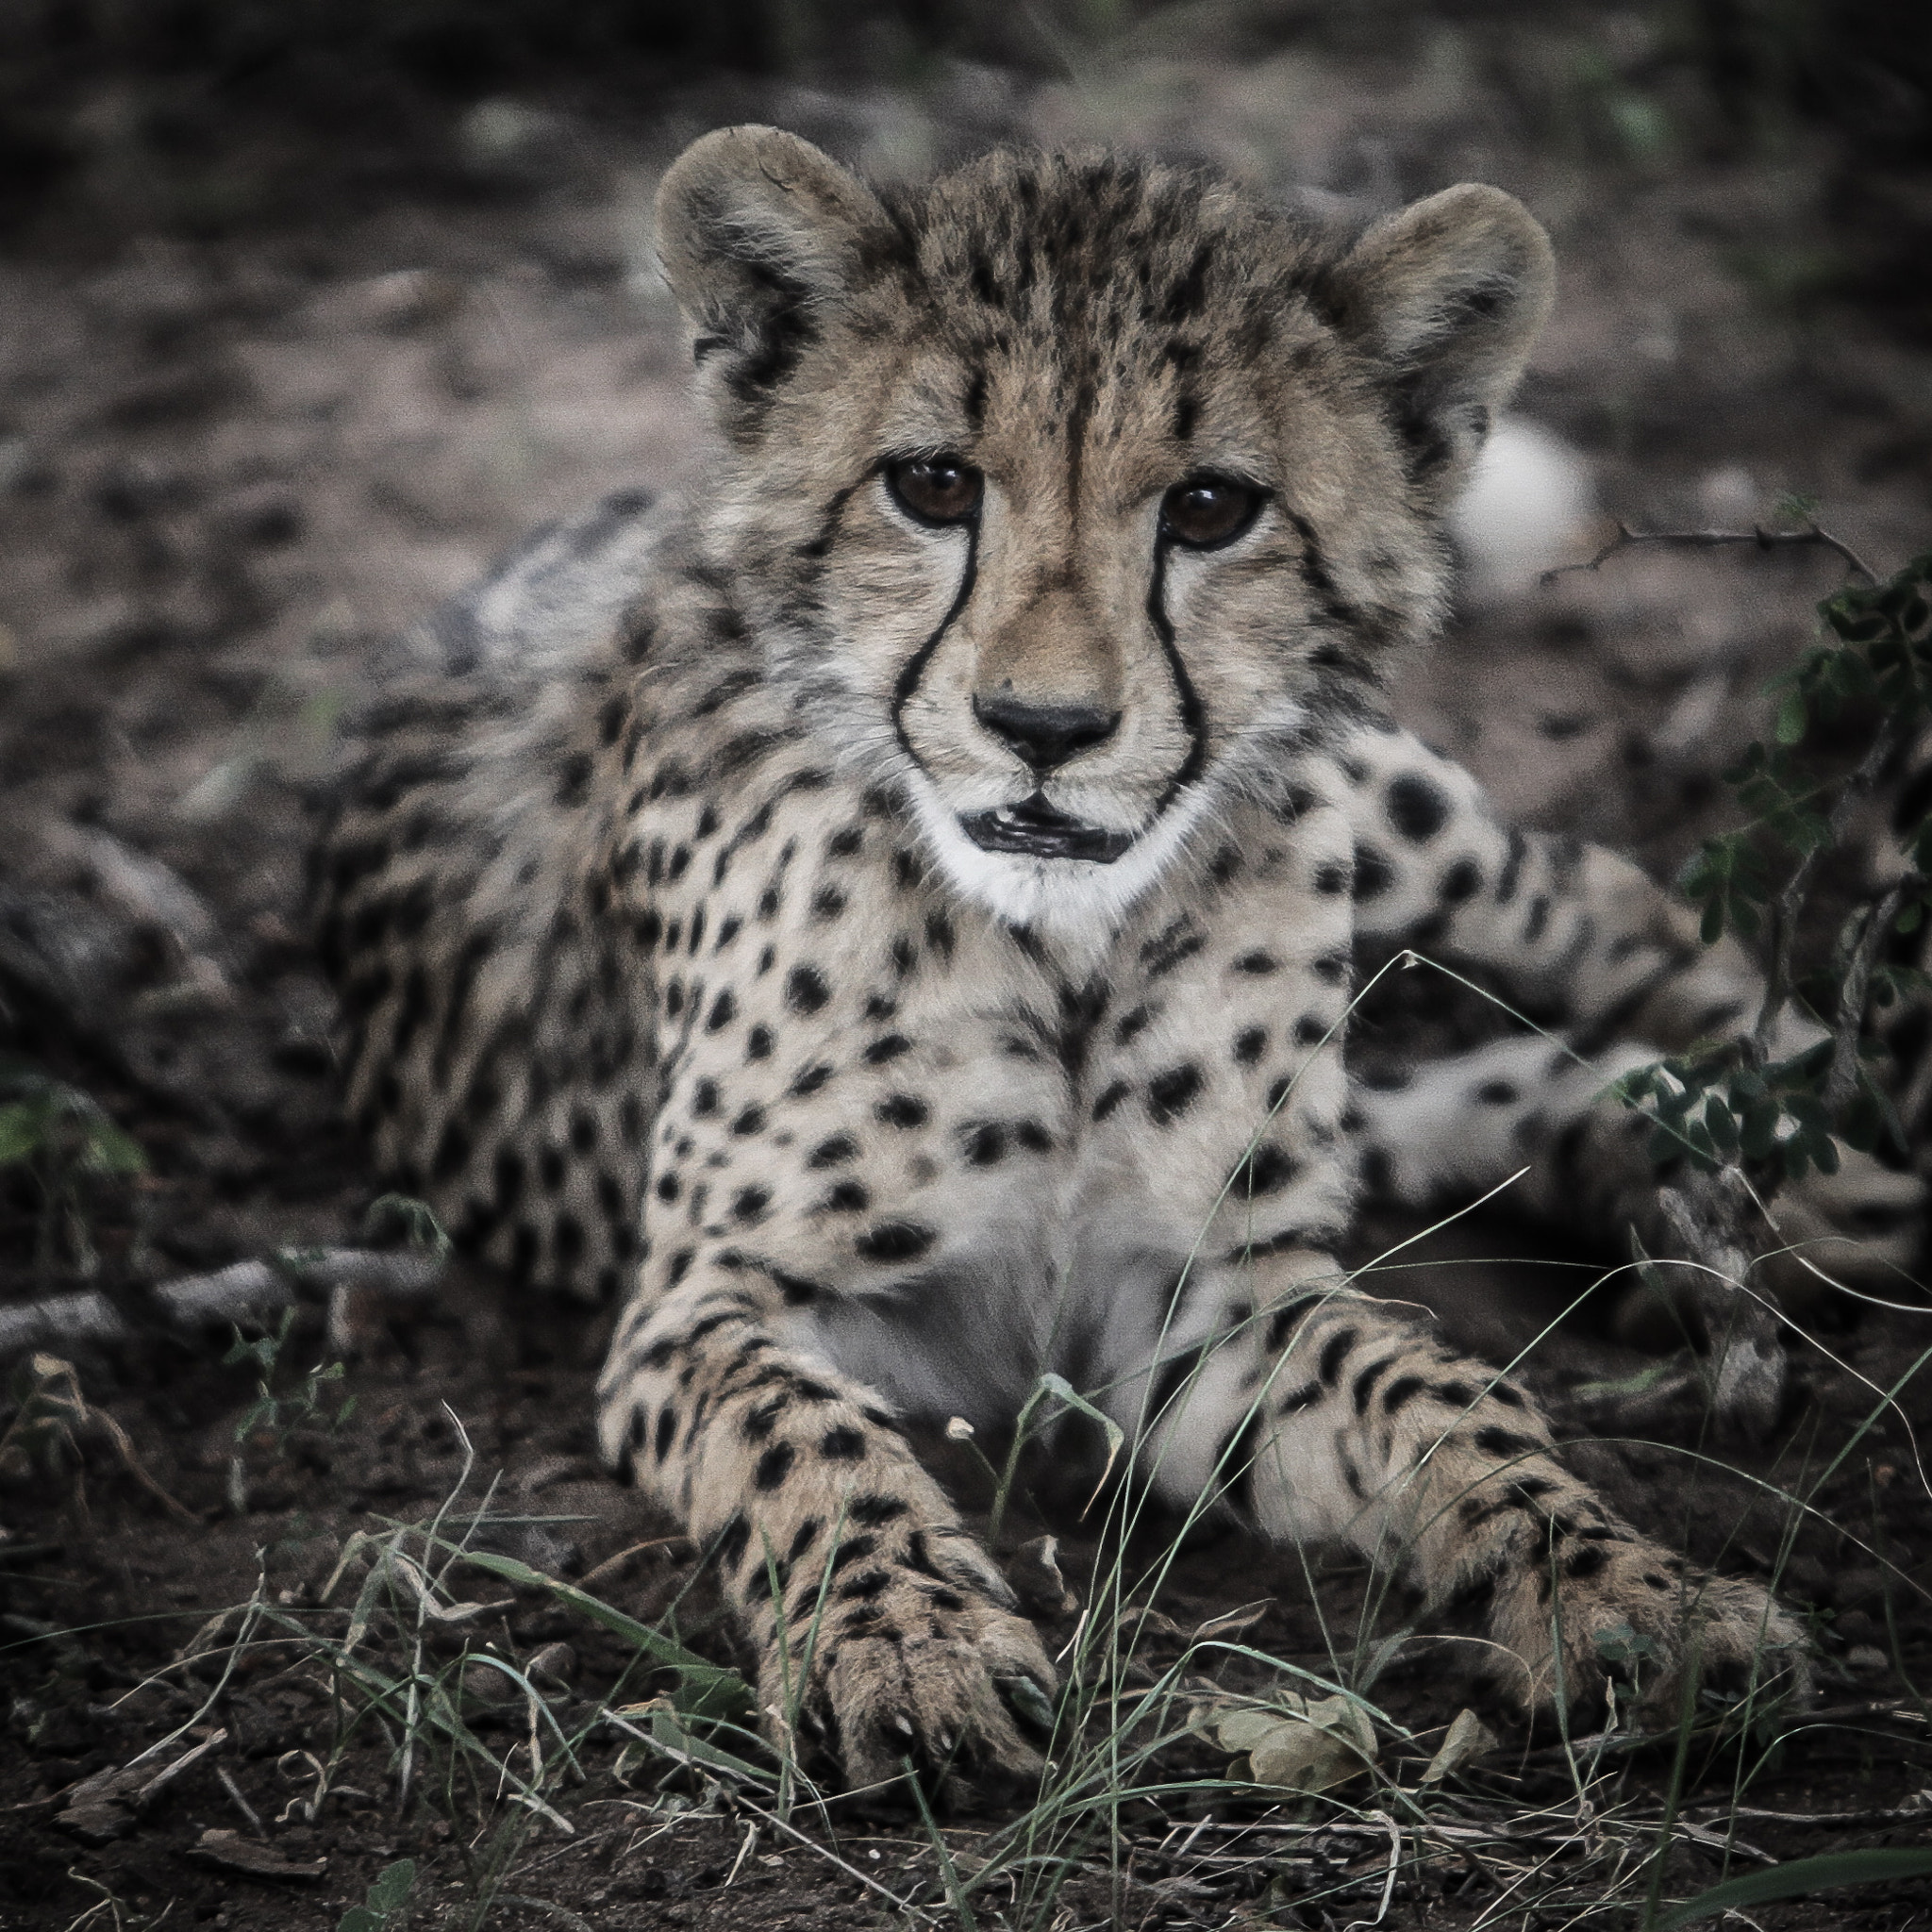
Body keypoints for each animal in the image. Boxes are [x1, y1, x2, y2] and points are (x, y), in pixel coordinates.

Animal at [315, 125, 1857, 1806]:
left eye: (1212, 507)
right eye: (931, 485)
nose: (1043, 730)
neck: (1057, 949)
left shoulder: (1207, 1297)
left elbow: (1450, 1405)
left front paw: (1630, 1590)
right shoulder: (712, 1297)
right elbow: (803, 1443)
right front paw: (904, 1644)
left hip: (1401, 816)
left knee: (1625, 911)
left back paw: (1806, 1167)